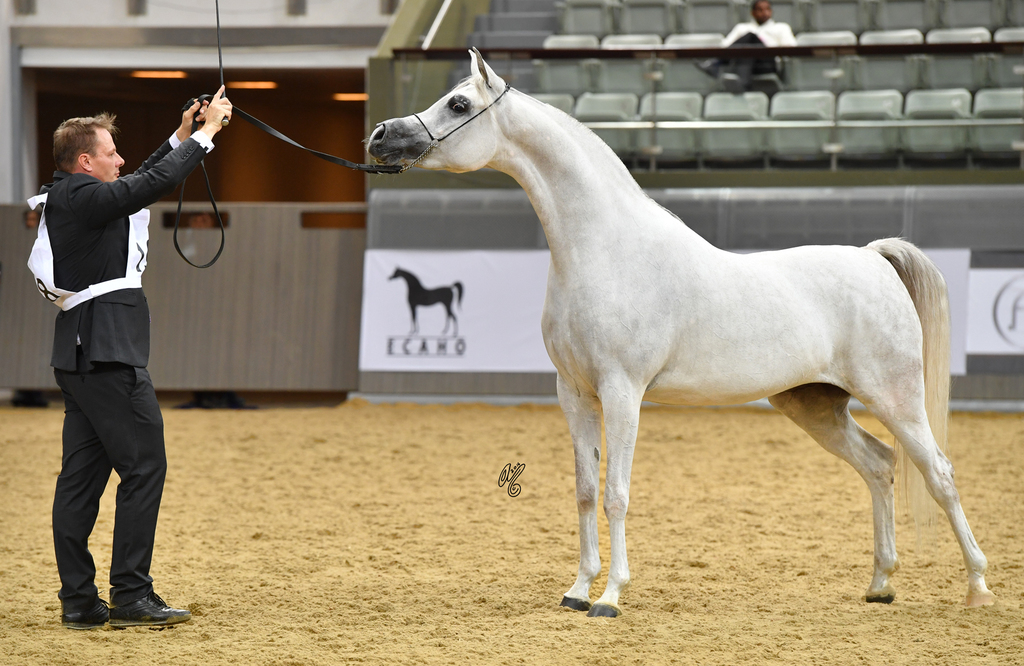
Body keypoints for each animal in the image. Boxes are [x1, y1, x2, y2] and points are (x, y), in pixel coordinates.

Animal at [366, 48, 995, 617]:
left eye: (459, 104)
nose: (380, 136)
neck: (605, 250)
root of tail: (873, 258)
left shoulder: (622, 392)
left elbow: (617, 493)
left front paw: (611, 598)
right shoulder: (573, 393)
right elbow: (586, 490)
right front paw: (577, 590)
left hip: (896, 397)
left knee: (938, 474)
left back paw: (978, 588)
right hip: (815, 405)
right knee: (880, 464)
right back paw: (881, 583)